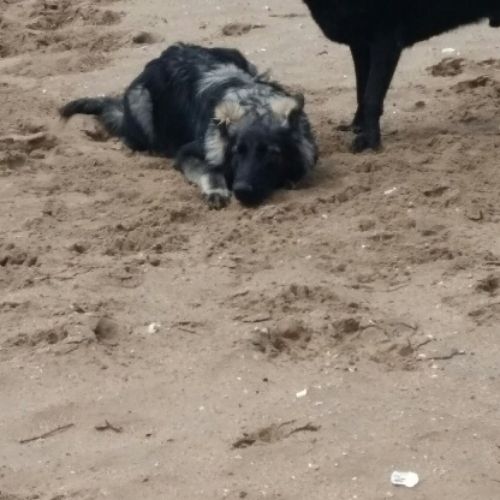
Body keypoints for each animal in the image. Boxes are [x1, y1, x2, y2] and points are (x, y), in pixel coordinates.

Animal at [60, 43, 318, 208]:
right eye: (237, 152)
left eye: (272, 154)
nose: (241, 191)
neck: (254, 102)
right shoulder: (188, 152)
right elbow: (209, 169)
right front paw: (216, 190)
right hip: (141, 104)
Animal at [302, 0, 500, 152]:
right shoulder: (359, 45)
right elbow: (361, 92)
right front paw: (358, 126)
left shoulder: (385, 41)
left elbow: (371, 97)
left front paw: (370, 140)